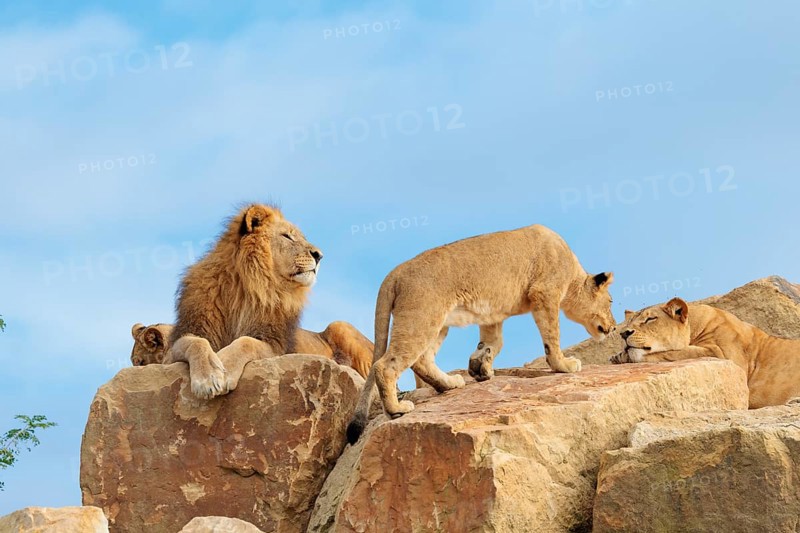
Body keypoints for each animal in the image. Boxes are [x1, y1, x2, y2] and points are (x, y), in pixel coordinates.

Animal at [164, 203, 371, 399]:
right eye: (287, 236)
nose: (319, 255)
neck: (246, 287)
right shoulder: (177, 344)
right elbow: (195, 342)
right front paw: (209, 377)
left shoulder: (276, 347)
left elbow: (246, 341)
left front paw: (226, 367)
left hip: (340, 325)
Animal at [346, 224, 616, 443]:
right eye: (611, 302)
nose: (613, 327)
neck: (572, 273)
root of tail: (394, 273)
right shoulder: (544, 293)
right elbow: (552, 335)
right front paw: (563, 365)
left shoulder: (493, 314)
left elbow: (493, 343)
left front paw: (480, 369)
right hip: (422, 319)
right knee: (386, 365)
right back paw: (397, 408)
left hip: (438, 323)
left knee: (422, 360)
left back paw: (449, 384)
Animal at [611, 297, 800, 408]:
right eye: (629, 323)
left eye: (650, 319)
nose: (624, 333)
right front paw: (618, 356)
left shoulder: (726, 357)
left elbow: (676, 352)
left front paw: (624, 356)